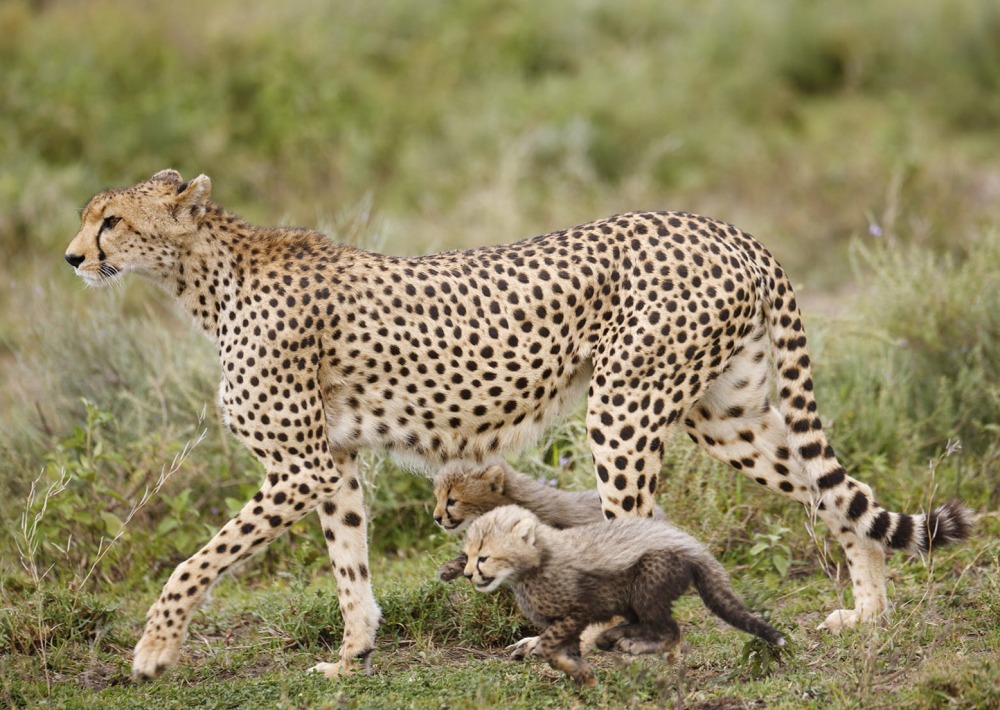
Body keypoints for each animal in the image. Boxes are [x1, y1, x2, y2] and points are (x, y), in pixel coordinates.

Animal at [462, 505, 784, 686]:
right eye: (468, 555)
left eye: (484, 557)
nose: (467, 574)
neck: (541, 559)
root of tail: (690, 543)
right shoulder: (565, 621)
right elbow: (561, 653)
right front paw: (581, 674)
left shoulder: (578, 610)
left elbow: (550, 645)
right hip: (631, 598)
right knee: (640, 624)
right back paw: (614, 637)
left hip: (648, 581)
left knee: (670, 630)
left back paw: (633, 643)